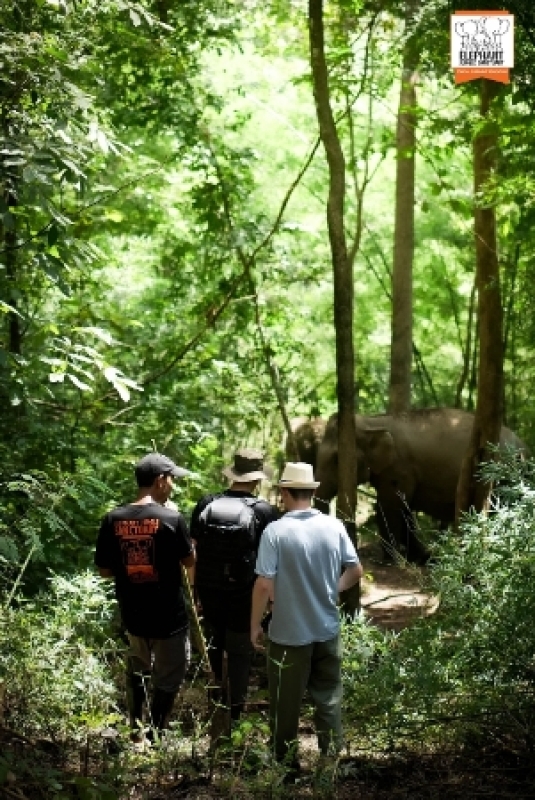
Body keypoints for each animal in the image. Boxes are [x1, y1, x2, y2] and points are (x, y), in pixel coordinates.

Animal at [314, 408, 526, 564]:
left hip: (502, 478)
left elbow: (389, 507)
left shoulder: (400, 469)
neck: (372, 420)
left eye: (336, 459)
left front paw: (390, 560)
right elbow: (404, 510)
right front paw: (420, 558)